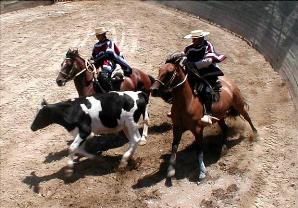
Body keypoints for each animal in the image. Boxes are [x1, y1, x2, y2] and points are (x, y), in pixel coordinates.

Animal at [150, 54, 258, 187]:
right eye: (160, 70)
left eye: (169, 72)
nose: (153, 90)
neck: (187, 102)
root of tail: (229, 82)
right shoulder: (177, 127)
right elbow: (174, 148)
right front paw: (170, 172)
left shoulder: (197, 130)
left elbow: (199, 151)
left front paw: (202, 173)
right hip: (221, 116)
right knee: (225, 128)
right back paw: (223, 148)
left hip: (238, 104)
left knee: (247, 117)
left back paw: (255, 133)